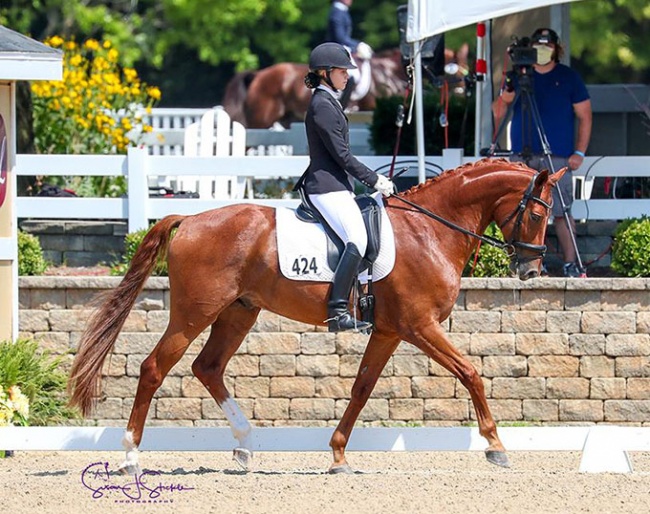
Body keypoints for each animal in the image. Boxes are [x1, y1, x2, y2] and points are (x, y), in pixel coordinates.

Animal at [67, 159, 560, 472]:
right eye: (539, 214)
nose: (532, 270)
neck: (430, 229)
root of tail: (189, 220)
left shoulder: (388, 332)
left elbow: (361, 389)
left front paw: (338, 455)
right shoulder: (420, 326)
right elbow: (470, 372)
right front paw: (495, 445)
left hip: (238, 313)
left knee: (208, 368)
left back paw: (245, 448)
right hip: (194, 313)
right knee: (154, 368)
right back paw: (131, 456)